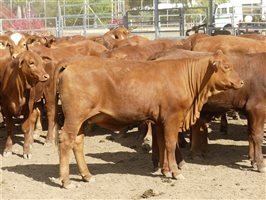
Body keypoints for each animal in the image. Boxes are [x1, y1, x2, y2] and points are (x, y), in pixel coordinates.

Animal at [56, 50, 243, 188]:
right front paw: (175, 172)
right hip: (74, 117)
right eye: (226, 66)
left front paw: (165, 170)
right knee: (66, 140)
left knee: (78, 142)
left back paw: (87, 175)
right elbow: (170, 143)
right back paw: (66, 181)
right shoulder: (172, 117)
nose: (241, 82)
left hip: (82, 120)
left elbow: (161, 143)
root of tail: (71, 63)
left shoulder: (160, 120)